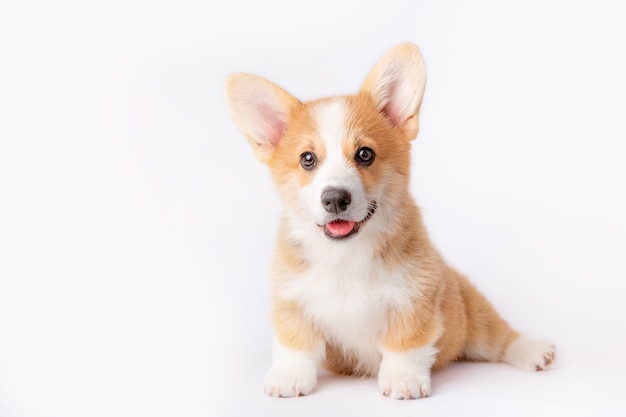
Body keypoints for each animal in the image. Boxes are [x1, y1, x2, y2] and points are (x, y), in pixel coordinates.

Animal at [223, 43, 552, 400]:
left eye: (365, 154)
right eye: (307, 159)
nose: (335, 198)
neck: (345, 254)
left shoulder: (414, 298)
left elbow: (405, 344)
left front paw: (403, 380)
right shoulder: (292, 300)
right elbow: (294, 344)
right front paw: (289, 377)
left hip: (473, 314)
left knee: (500, 338)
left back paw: (534, 351)